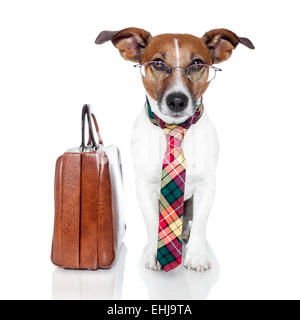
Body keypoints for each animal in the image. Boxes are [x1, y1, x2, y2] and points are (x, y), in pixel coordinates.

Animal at [95, 28, 254, 272]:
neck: (174, 129)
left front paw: (196, 255)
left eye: (197, 64)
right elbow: (153, 221)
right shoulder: (144, 186)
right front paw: (155, 253)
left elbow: (200, 222)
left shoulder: (207, 185)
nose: (177, 100)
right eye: (158, 64)